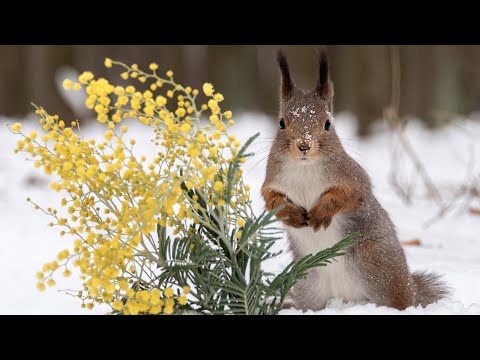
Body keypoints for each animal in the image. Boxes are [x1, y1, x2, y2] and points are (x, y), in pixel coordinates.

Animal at [260, 49, 448, 310]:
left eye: (328, 123)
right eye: (281, 123)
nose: (304, 145)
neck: (305, 168)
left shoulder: (354, 178)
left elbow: (348, 196)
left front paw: (321, 212)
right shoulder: (272, 181)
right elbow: (271, 200)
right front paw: (291, 214)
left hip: (376, 264)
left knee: (400, 300)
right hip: (309, 282)